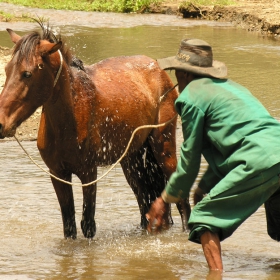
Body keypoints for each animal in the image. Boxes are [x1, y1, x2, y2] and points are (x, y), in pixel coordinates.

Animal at [0, 20, 190, 238]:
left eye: (27, 73)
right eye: (7, 70)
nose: (1, 123)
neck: (70, 117)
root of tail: (159, 70)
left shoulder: (88, 173)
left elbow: (88, 224)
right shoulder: (57, 174)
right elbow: (69, 225)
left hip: (163, 149)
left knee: (181, 200)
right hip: (133, 161)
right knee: (144, 203)